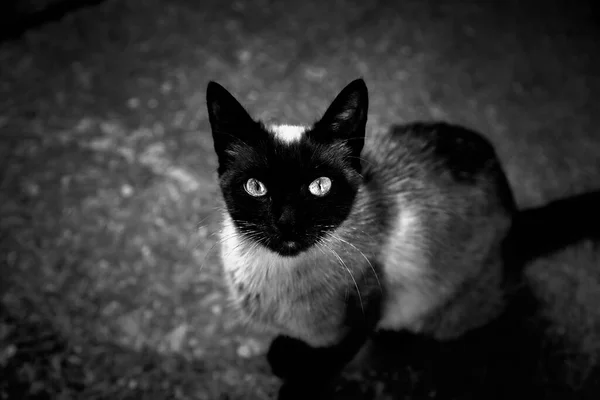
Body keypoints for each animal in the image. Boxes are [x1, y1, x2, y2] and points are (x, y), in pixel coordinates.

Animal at [205, 79, 596, 400]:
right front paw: (288, 353)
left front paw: (297, 382)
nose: (286, 223)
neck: (274, 276)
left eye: (320, 186)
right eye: (256, 187)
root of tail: (514, 212)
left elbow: (327, 361)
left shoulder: (363, 313)